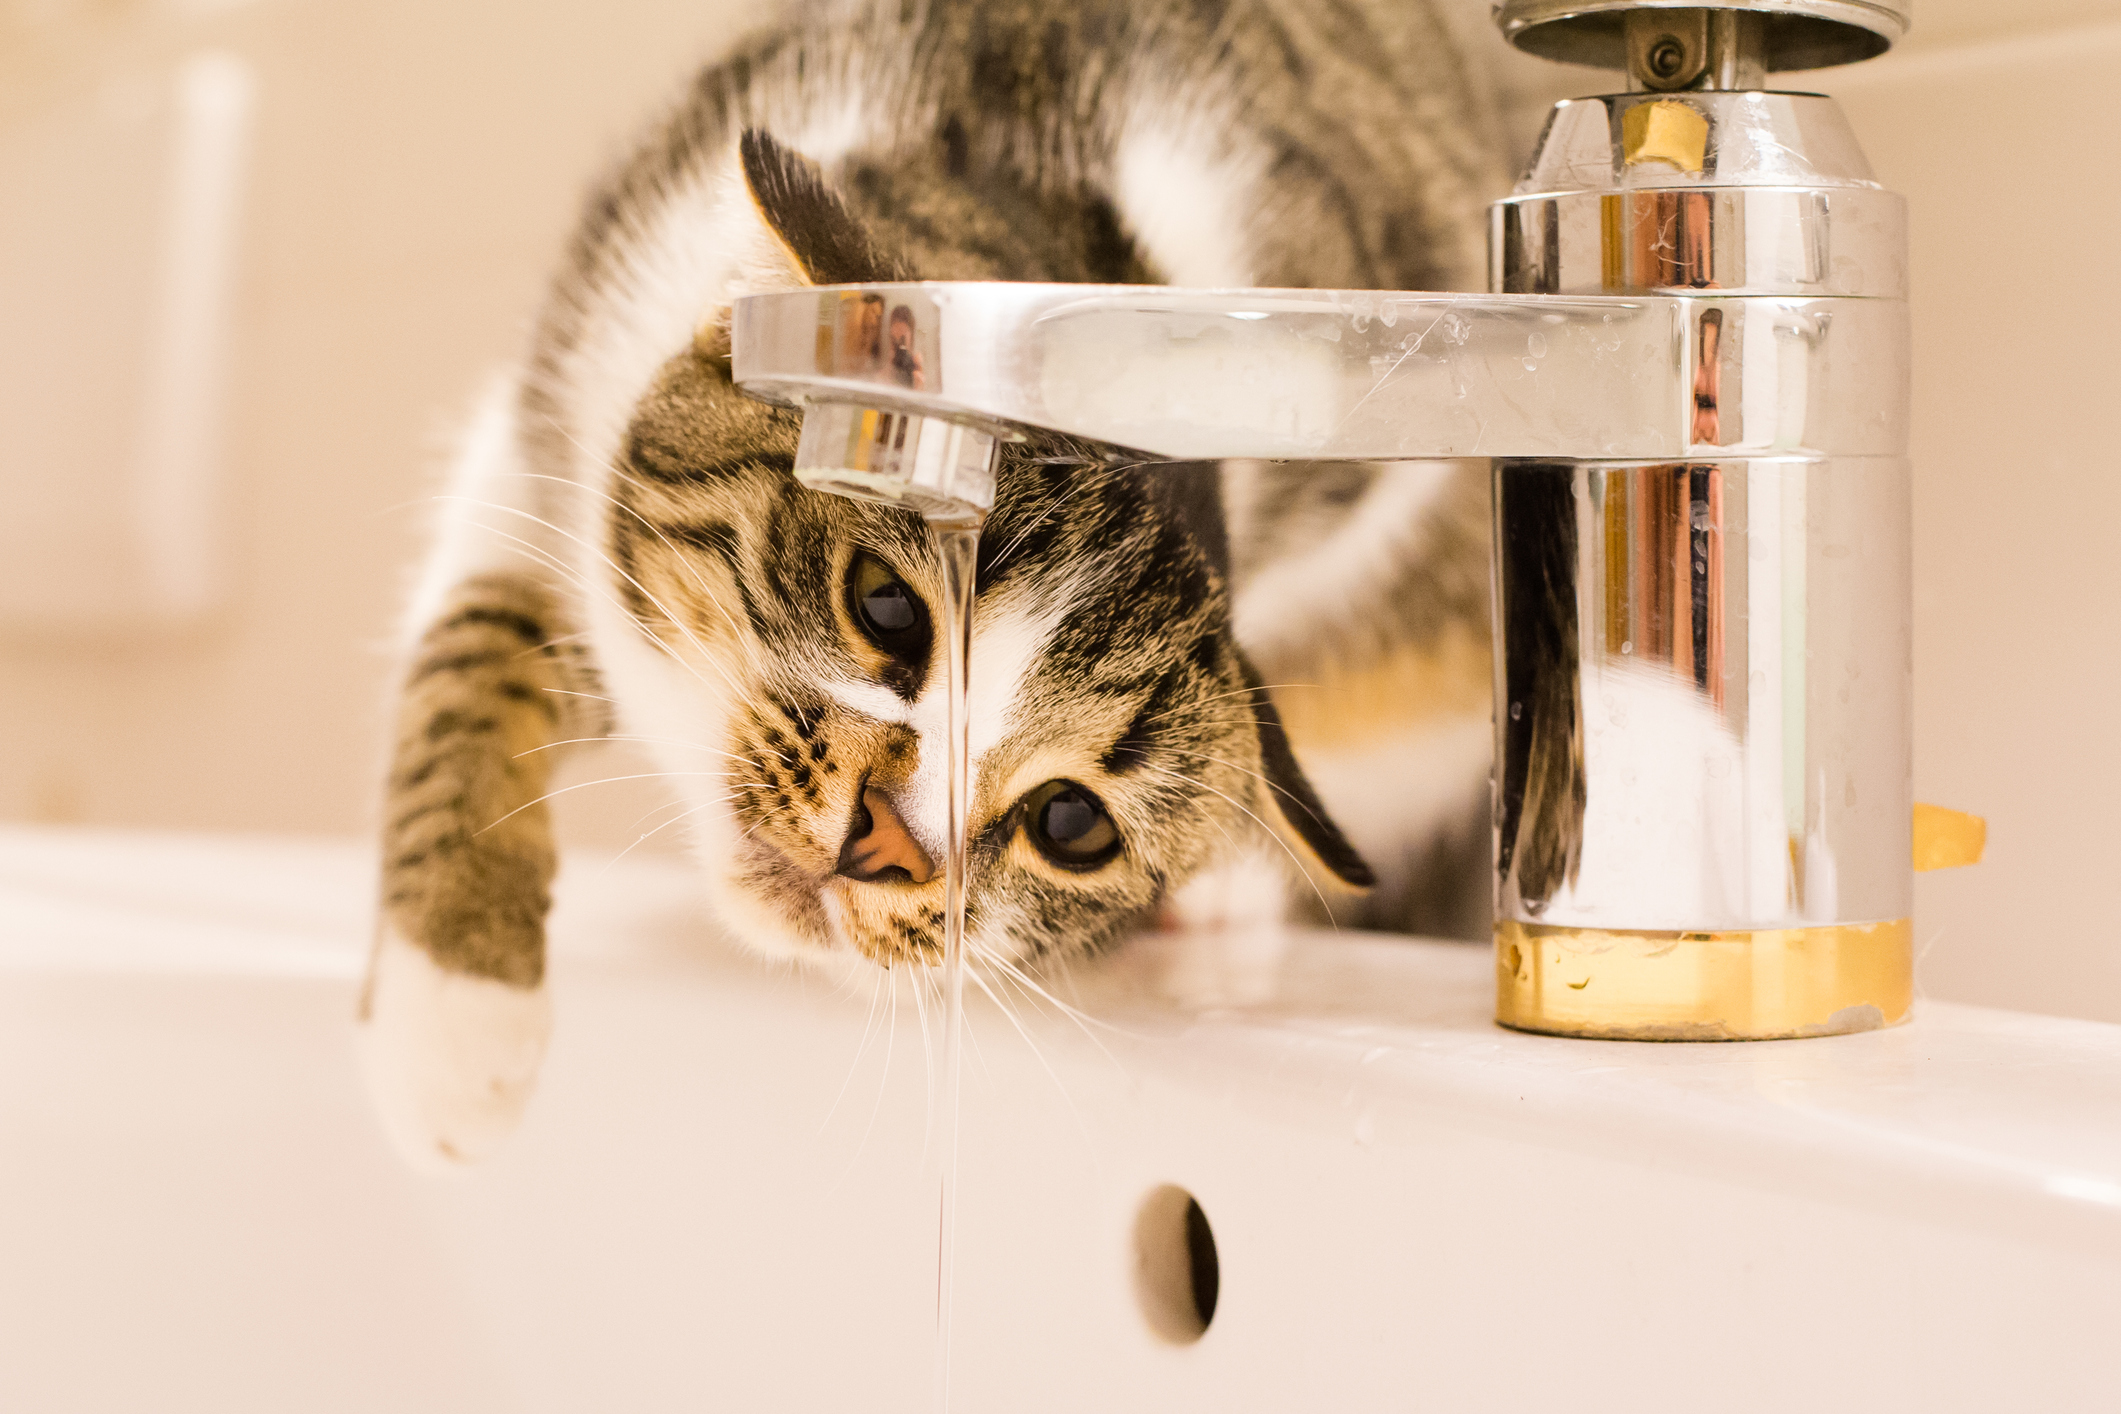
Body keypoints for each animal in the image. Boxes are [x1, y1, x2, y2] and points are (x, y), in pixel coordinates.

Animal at [356, 0, 1501, 1170]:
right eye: (886, 604)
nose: (885, 843)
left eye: (1070, 822)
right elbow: (479, 646)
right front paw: (455, 1015)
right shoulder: (560, 400)